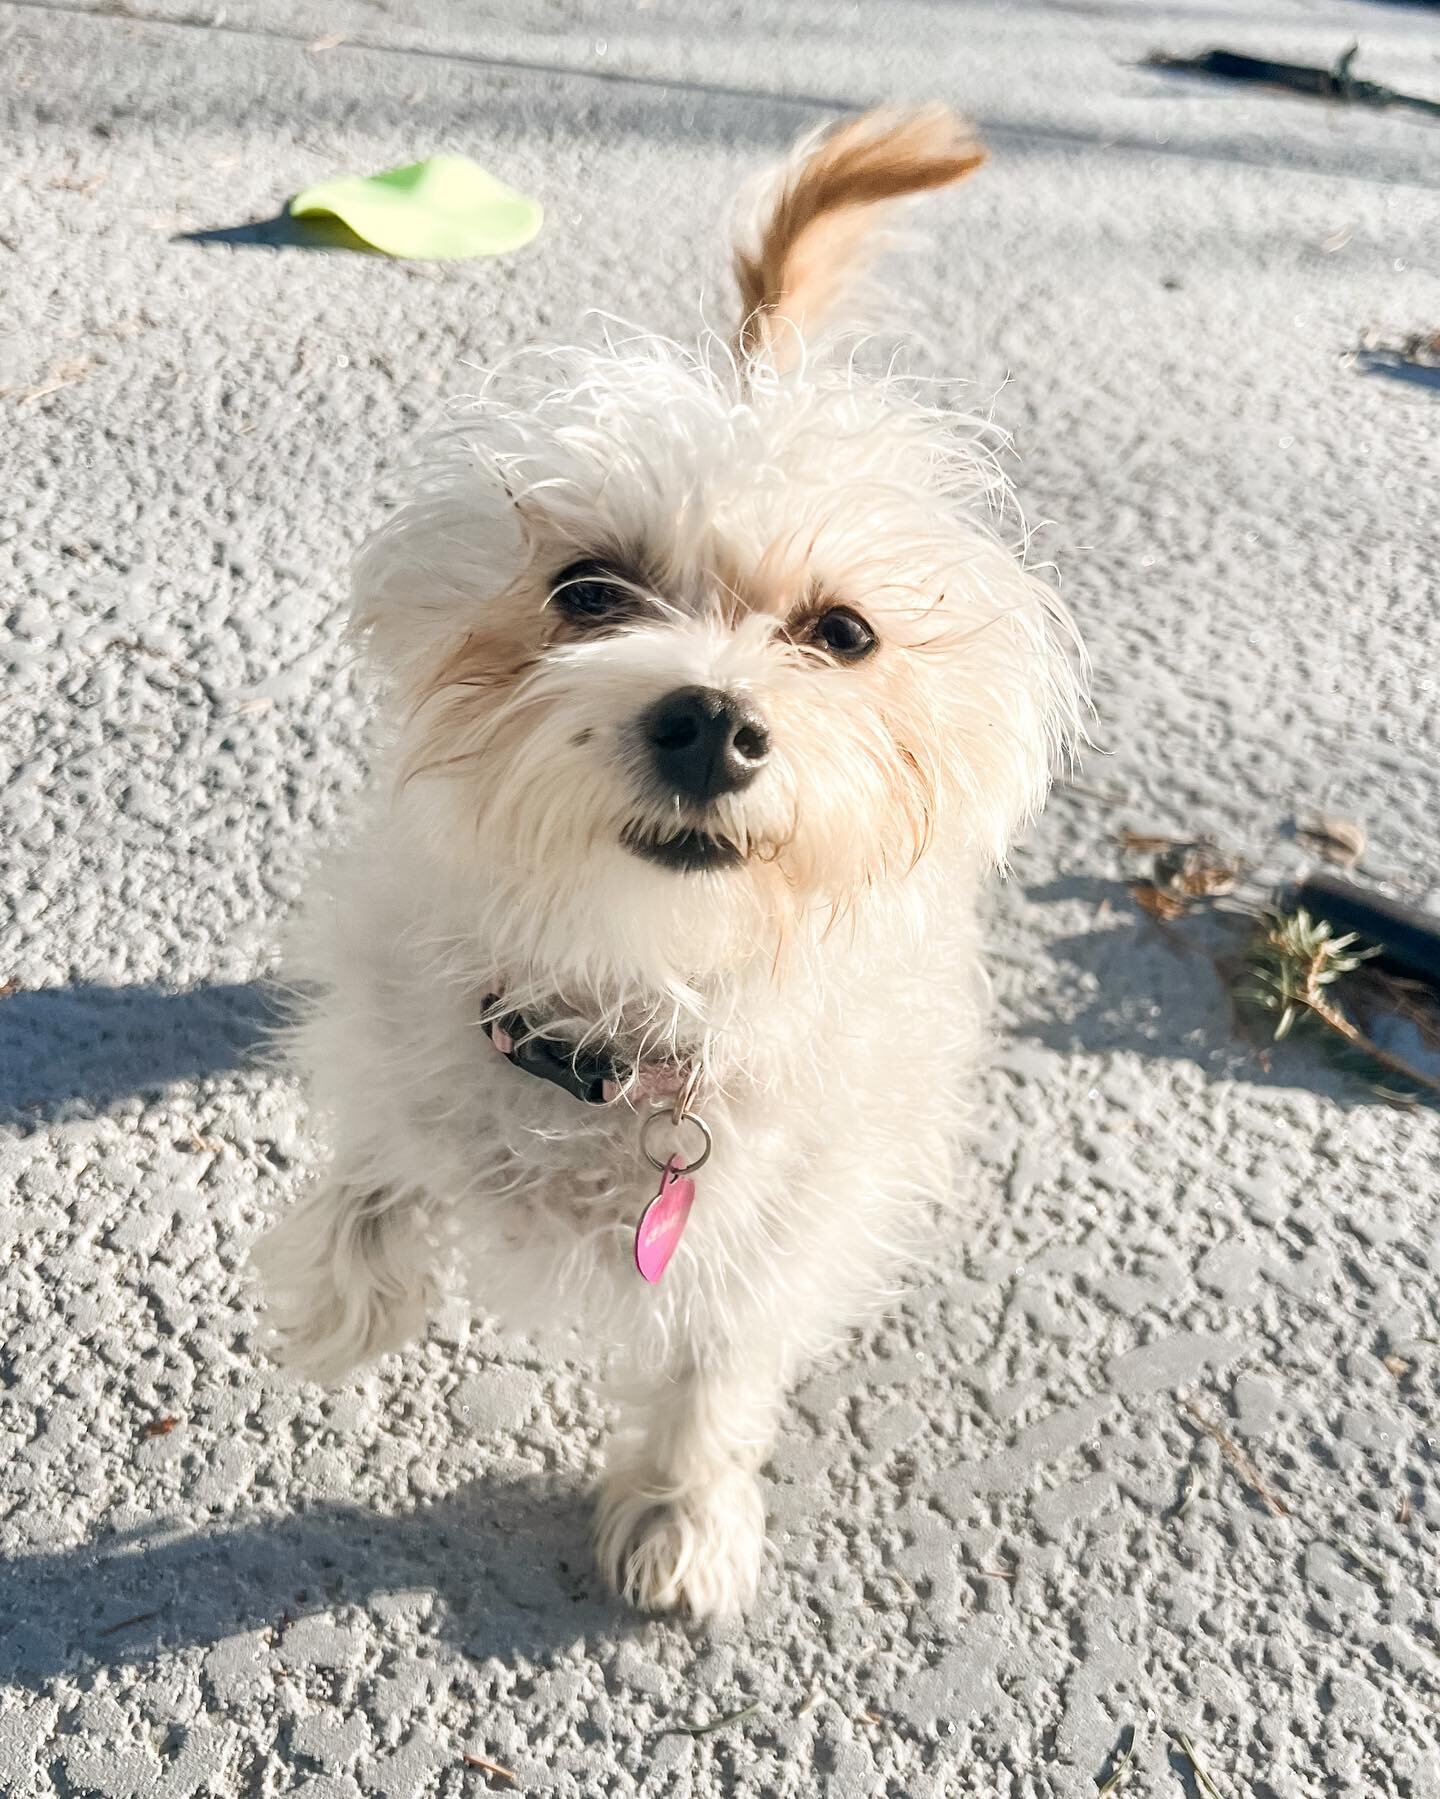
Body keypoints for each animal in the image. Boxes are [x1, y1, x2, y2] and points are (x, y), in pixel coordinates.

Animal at [255, 108, 1080, 1619]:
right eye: (587, 589)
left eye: (844, 633)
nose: (711, 717)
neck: (634, 984)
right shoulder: (404, 1028)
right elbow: (378, 1167)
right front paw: (349, 1303)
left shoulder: (777, 1227)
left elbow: (717, 1363)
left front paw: (683, 1508)